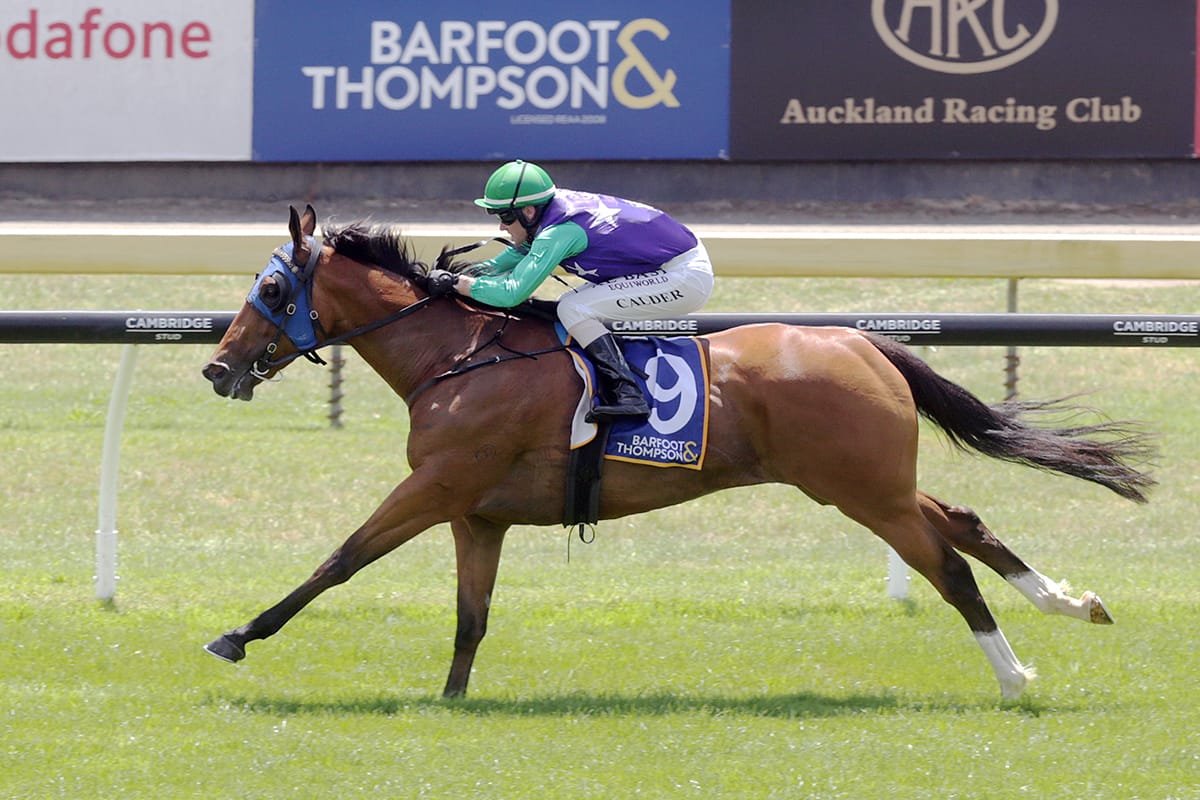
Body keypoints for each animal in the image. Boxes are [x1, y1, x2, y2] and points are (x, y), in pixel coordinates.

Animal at [201, 205, 1155, 701]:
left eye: (273, 287)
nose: (216, 367)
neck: (460, 355)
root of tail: (865, 341)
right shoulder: (479, 514)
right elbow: (471, 616)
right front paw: (452, 700)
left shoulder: (438, 486)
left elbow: (340, 560)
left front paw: (237, 635)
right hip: (873, 481)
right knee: (966, 521)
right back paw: (1072, 606)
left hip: (861, 489)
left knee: (947, 566)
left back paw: (1015, 676)